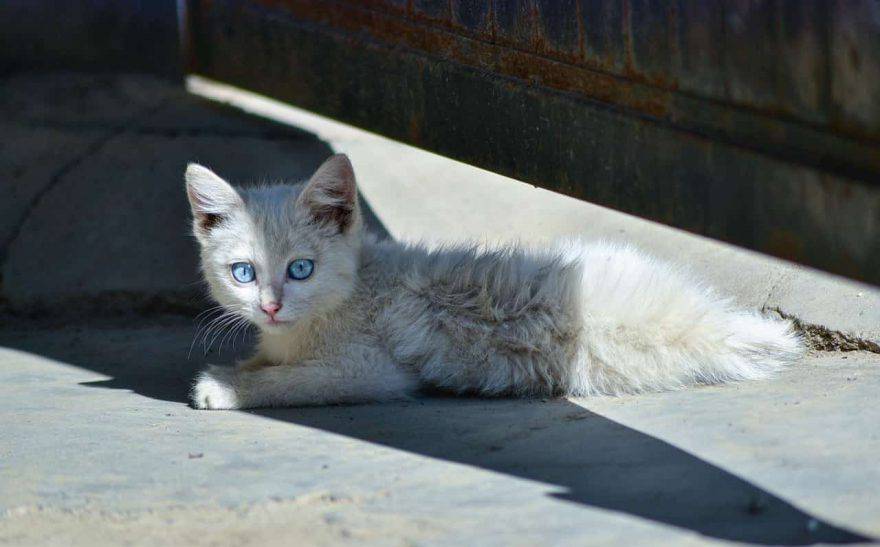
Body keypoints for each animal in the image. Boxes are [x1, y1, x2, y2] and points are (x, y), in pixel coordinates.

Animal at [186, 154, 804, 412]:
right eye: (243, 272)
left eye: (301, 269)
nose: (270, 307)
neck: (355, 285)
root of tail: (708, 322)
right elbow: (271, 360)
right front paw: (246, 365)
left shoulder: (370, 368)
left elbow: (297, 380)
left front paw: (226, 387)